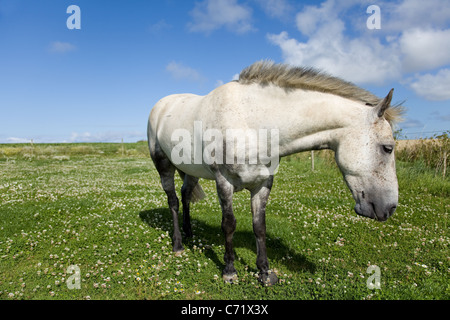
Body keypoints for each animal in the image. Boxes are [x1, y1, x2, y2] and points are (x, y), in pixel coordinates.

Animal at [149, 60, 404, 284]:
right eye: (387, 148)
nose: (389, 208)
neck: (251, 122)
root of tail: (160, 106)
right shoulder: (224, 182)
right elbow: (229, 224)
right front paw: (229, 271)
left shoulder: (263, 183)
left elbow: (259, 226)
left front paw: (264, 273)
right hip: (163, 166)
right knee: (173, 201)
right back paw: (178, 244)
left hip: (190, 171)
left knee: (185, 195)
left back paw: (189, 232)